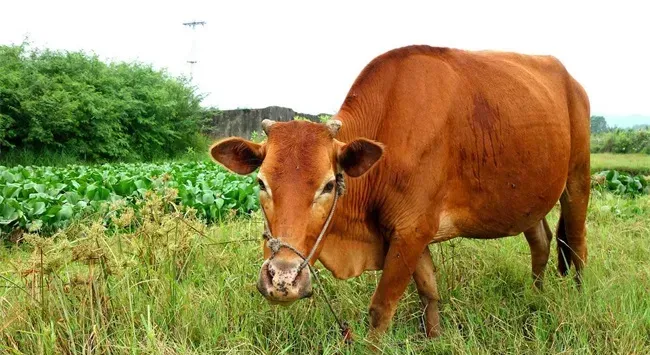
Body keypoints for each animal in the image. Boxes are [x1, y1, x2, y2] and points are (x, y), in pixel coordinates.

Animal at [210, 46, 588, 340]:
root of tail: (573, 82)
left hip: (577, 181)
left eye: (328, 185)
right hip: (528, 201)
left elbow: (381, 309)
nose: (283, 279)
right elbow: (430, 294)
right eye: (261, 183)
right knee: (541, 243)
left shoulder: (412, 230)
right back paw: (535, 298)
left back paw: (579, 296)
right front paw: (435, 339)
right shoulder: (407, 233)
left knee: (577, 246)